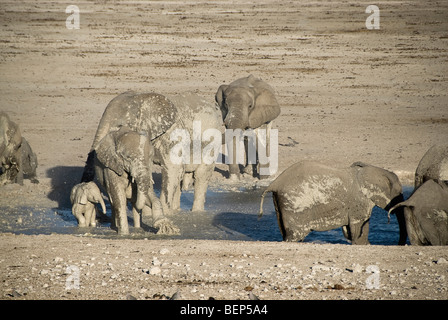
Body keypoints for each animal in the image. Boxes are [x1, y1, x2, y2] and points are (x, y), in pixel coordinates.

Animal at [258, 161, 408, 244]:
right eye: (398, 193)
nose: (400, 244)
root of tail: (275, 183)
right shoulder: (359, 201)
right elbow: (359, 227)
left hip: (282, 202)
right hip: (295, 203)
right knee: (295, 235)